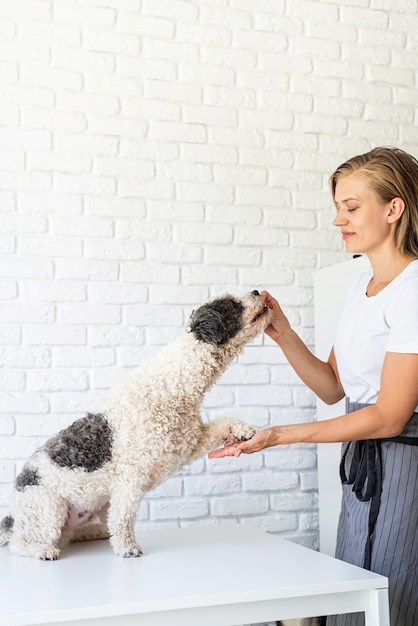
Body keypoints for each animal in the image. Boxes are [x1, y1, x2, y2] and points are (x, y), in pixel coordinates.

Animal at [0, 290, 272, 560]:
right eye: (231, 304)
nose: (257, 291)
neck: (171, 385)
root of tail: (13, 516)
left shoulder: (188, 442)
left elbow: (222, 424)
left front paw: (243, 430)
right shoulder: (131, 476)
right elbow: (124, 517)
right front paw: (127, 547)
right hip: (48, 507)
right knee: (19, 542)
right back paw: (43, 549)